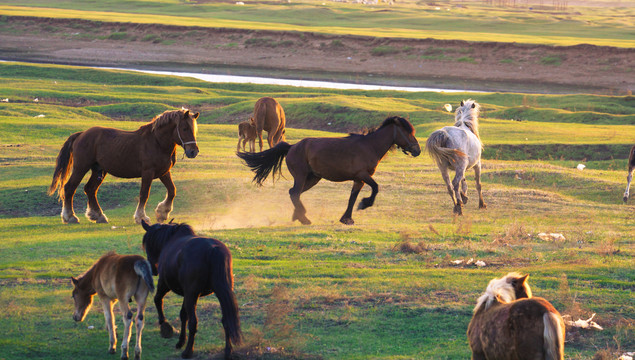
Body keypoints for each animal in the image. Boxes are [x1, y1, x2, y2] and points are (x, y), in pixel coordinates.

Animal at [47, 108, 199, 224]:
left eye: (194, 130)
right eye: (184, 128)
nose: (193, 151)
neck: (156, 142)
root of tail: (81, 134)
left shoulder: (163, 172)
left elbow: (172, 190)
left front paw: (162, 213)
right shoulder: (148, 172)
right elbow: (144, 194)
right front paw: (141, 217)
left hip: (99, 170)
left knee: (90, 189)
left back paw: (98, 216)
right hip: (81, 168)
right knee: (69, 188)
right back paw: (70, 217)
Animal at [141, 221, 241, 358]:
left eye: (148, 245)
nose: (153, 270)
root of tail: (213, 249)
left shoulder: (165, 284)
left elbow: (158, 299)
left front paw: (164, 323)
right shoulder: (186, 293)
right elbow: (183, 315)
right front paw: (180, 341)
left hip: (191, 294)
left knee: (193, 322)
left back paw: (188, 351)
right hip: (218, 293)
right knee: (226, 320)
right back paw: (228, 351)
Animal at [236, 116, 420, 225]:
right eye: (408, 132)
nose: (417, 150)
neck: (370, 146)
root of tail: (292, 147)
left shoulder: (358, 179)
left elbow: (352, 198)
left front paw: (347, 218)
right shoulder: (363, 175)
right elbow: (375, 188)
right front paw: (364, 204)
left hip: (313, 178)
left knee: (294, 193)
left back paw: (297, 216)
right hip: (302, 176)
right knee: (294, 193)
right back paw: (304, 218)